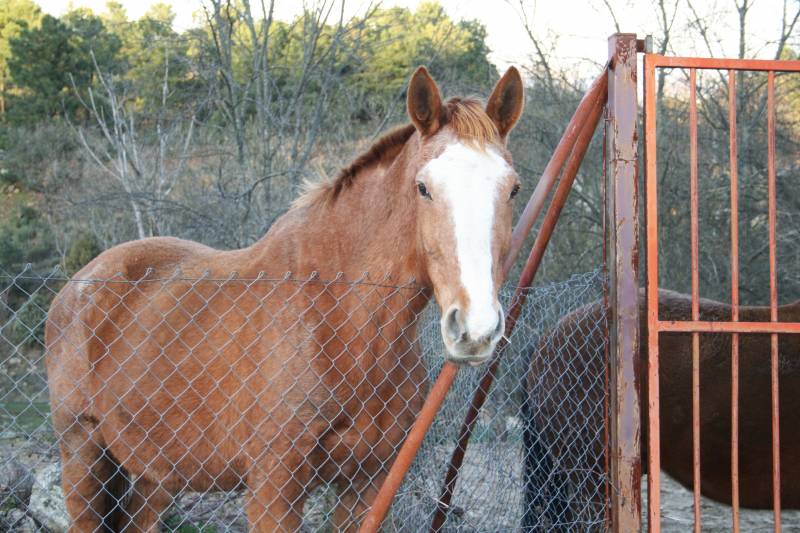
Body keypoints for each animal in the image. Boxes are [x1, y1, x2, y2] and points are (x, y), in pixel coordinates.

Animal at [47, 67, 528, 532]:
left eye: (514, 189)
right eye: (424, 187)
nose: (476, 328)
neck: (339, 316)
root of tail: (80, 284)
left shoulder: (367, 482)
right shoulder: (274, 487)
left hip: (155, 472)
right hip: (82, 455)